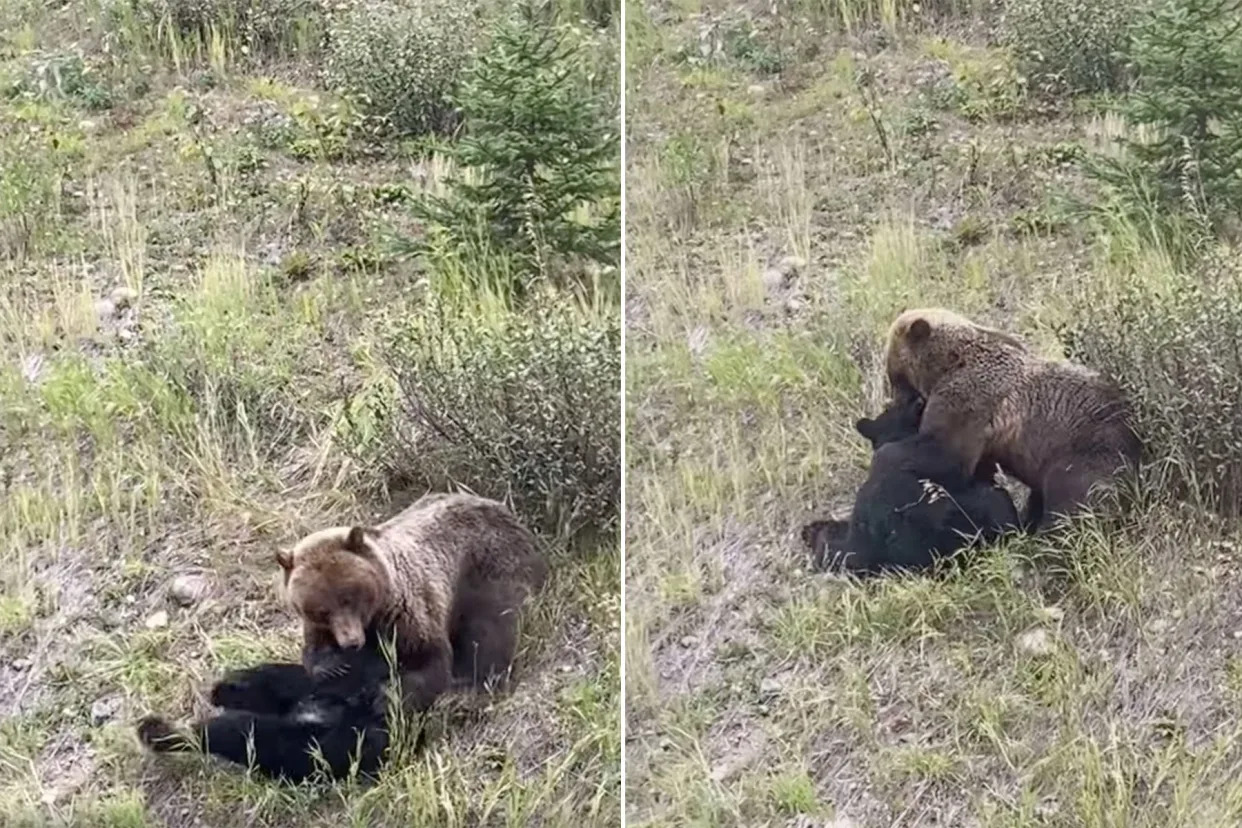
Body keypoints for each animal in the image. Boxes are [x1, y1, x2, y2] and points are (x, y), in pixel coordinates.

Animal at [276, 491, 548, 715]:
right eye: (322, 610)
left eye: (349, 598)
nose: (351, 642)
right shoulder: (319, 628)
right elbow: (313, 652)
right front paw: (333, 666)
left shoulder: (406, 612)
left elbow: (428, 659)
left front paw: (388, 699)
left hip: (491, 573)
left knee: (491, 629)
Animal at [884, 309, 1137, 531]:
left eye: (892, 376)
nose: (894, 401)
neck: (946, 363)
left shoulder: (967, 401)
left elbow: (947, 454)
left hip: (1085, 452)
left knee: (1071, 502)